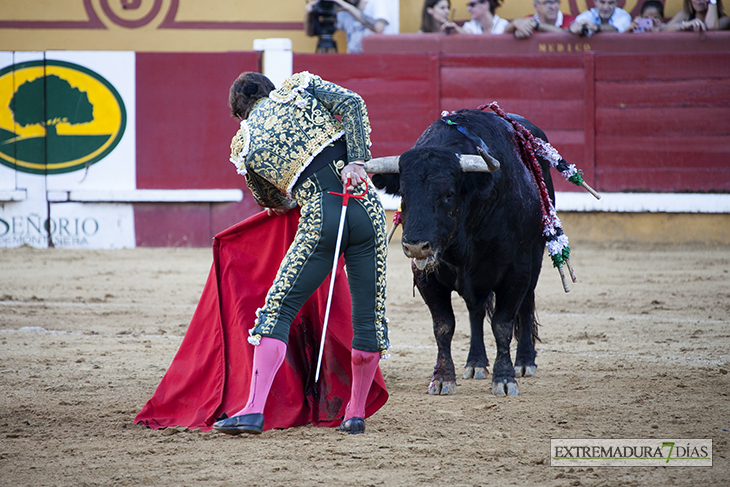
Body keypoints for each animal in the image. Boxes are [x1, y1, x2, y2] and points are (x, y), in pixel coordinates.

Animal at [366, 107, 556, 396]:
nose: (415, 246)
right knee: (475, 311)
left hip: (535, 257)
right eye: (404, 195)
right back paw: (476, 363)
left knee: (526, 304)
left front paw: (505, 378)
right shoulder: (427, 278)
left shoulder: (516, 272)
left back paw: (525, 362)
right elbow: (444, 326)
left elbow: (502, 324)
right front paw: (443, 378)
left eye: (449, 195)